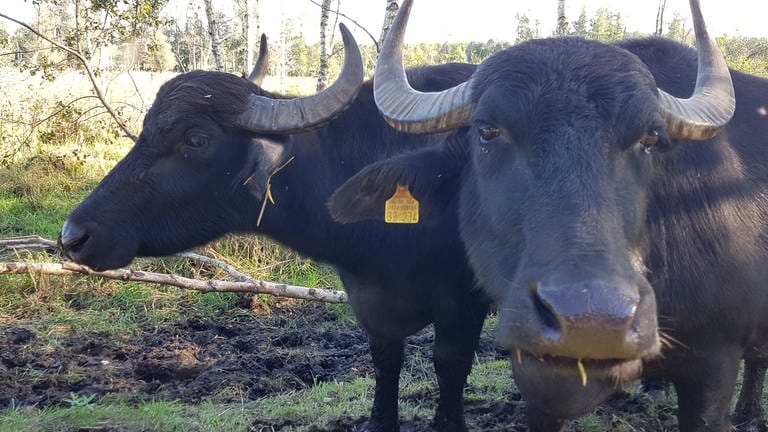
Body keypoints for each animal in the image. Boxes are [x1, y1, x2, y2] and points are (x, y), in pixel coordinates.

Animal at [57, 24, 488, 432]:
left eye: (195, 139)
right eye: (145, 129)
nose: (73, 236)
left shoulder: (463, 300)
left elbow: (450, 363)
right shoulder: (370, 302)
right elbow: (385, 362)